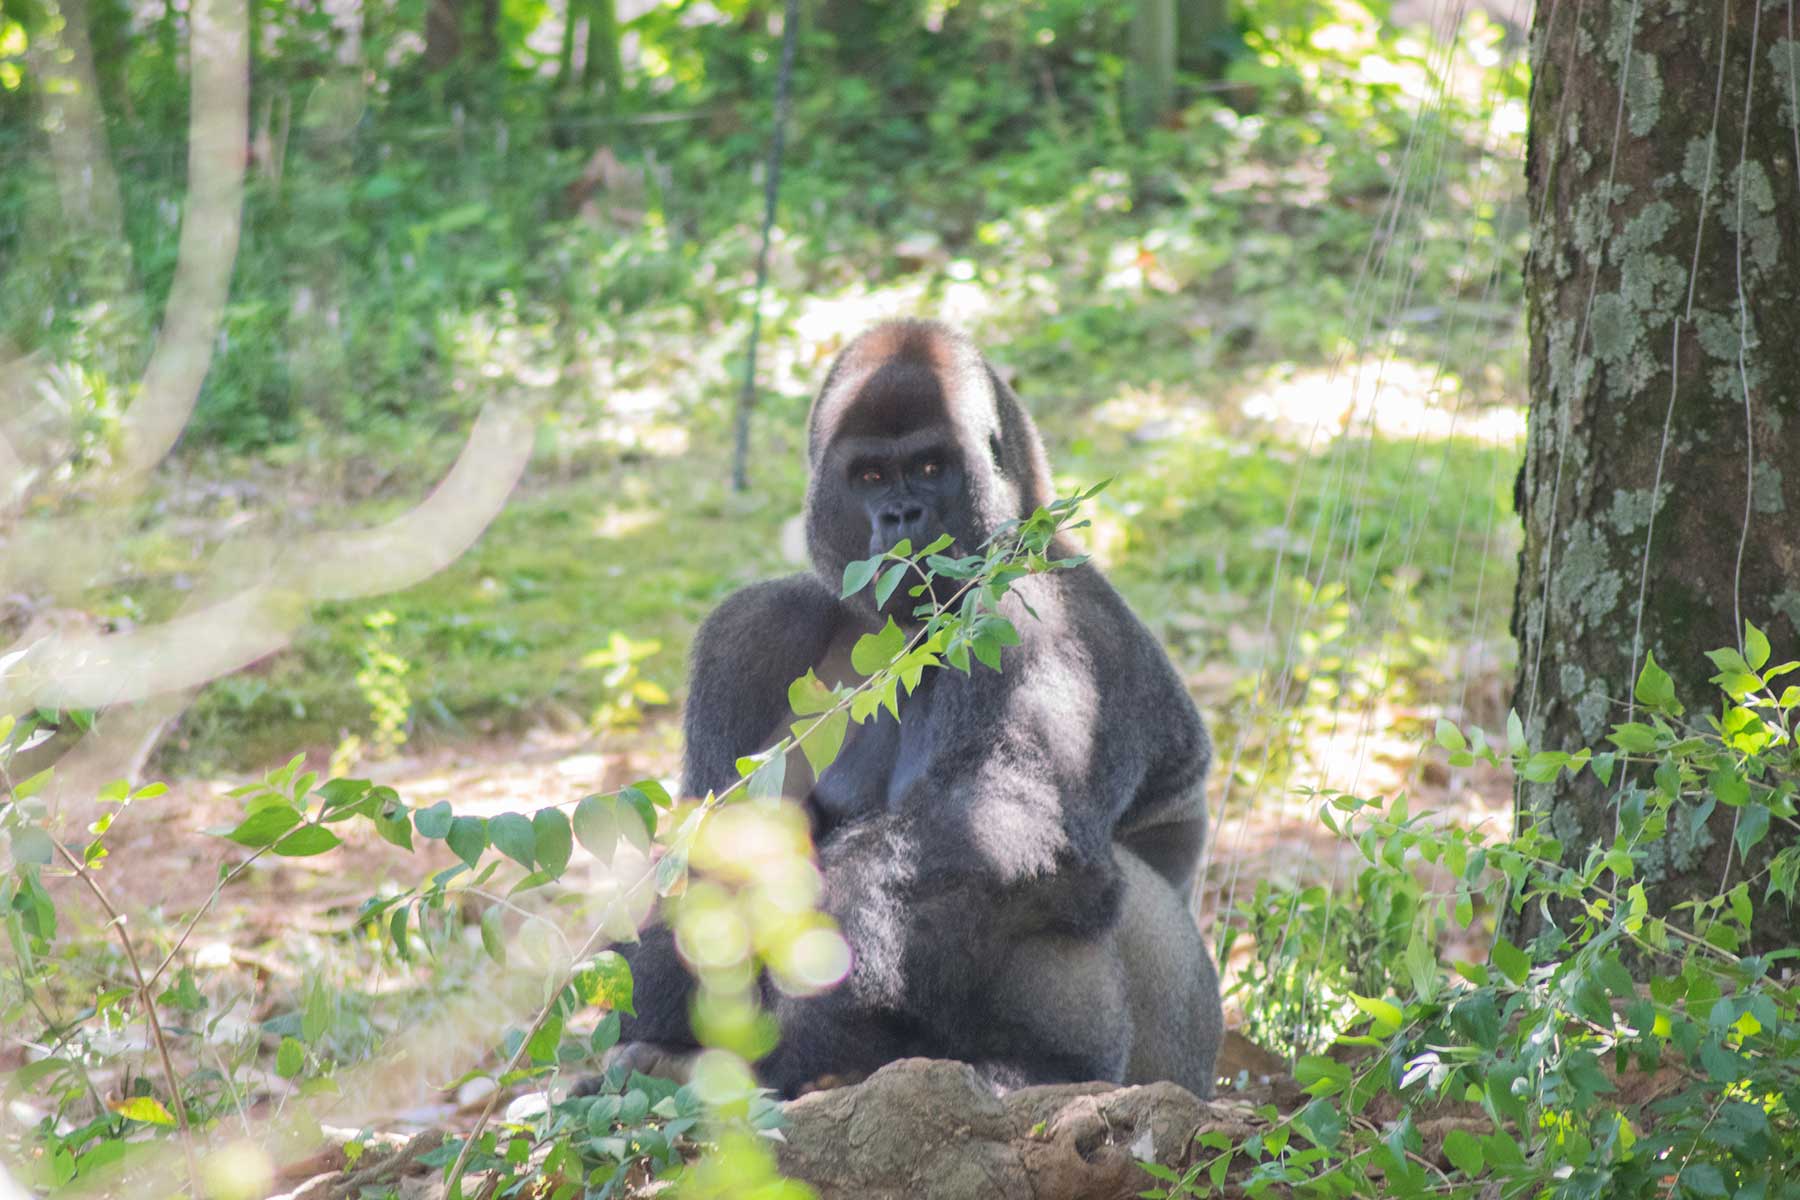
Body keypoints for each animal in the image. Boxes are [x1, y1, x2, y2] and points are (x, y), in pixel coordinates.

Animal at [609, 320, 1222, 1098]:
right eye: (870, 477)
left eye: (932, 468)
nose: (902, 515)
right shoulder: (748, 633)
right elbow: (712, 851)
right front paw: (655, 984)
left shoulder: (1032, 612)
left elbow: (1001, 821)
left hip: (1178, 1063)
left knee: (1071, 885)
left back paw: (1032, 1071)